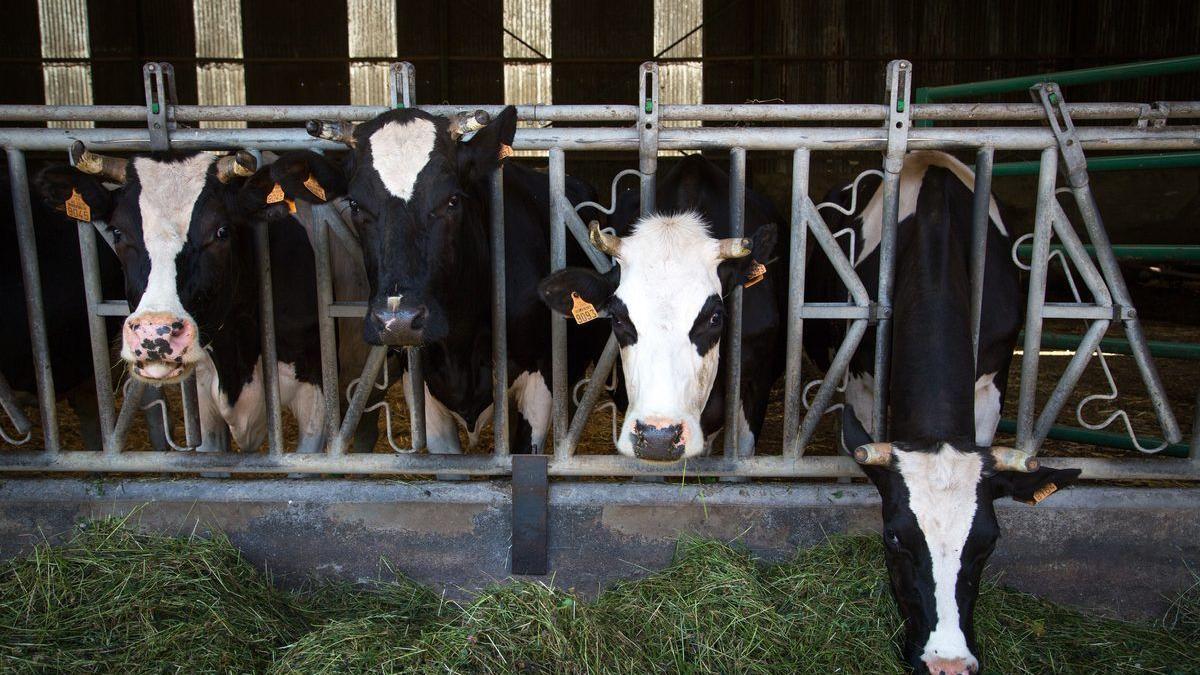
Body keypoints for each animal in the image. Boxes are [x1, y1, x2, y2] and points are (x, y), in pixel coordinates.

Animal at [306, 106, 607, 454]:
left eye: (452, 199)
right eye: (355, 205)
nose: (398, 322)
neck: (460, 345)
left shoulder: (540, 384)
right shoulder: (423, 393)